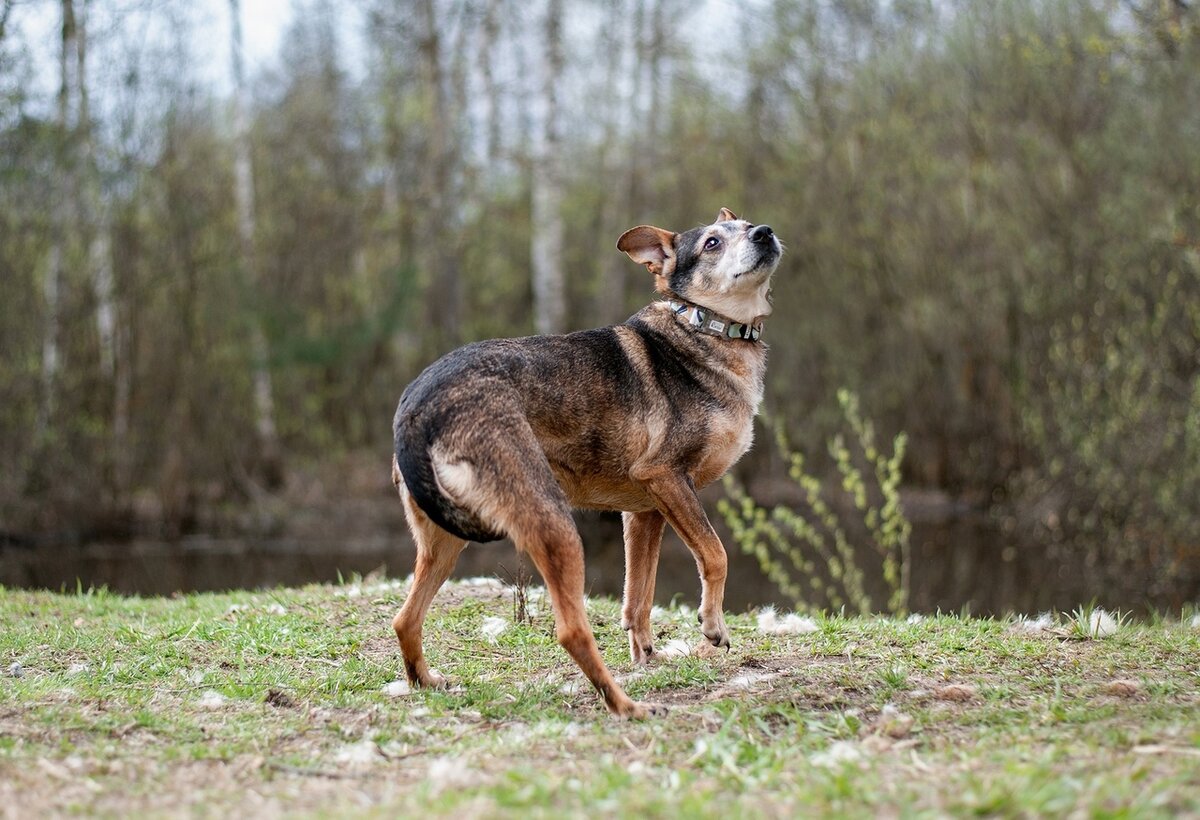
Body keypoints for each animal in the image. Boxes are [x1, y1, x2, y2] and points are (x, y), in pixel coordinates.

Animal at [388, 210, 782, 720]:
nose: (766, 234)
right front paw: (712, 627)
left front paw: (647, 657)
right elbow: (715, 555)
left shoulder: (645, 511)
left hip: (444, 543)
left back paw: (427, 682)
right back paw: (627, 706)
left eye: (751, 225)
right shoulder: (669, 479)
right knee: (572, 632)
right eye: (712, 243)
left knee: (404, 619)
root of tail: (417, 405)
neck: (703, 327)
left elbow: (638, 598)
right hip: (554, 525)